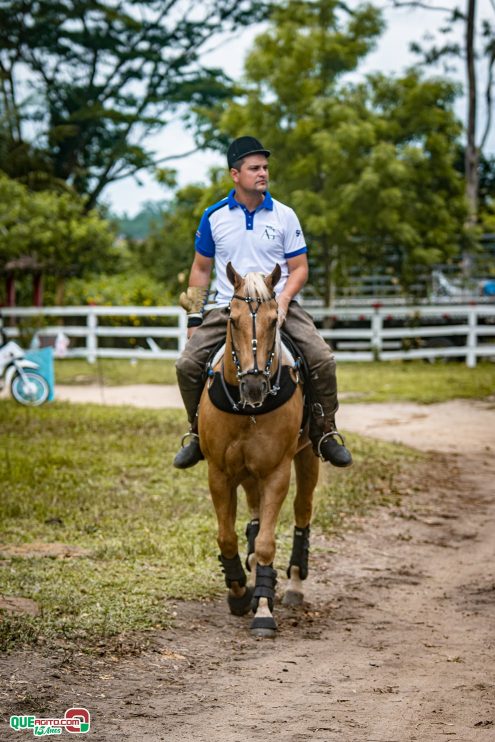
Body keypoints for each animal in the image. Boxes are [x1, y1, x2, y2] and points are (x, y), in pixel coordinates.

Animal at [199, 264, 320, 640]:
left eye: (273, 321)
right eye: (232, 318)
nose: (254, 386)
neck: (247, 410)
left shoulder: (276, 472)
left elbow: (267, 541)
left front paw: (264, 608)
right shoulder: (219, 473)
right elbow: (226, 537)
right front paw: (239, 591)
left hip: (307, 455)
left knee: (302, 511)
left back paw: (294, 584)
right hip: (246, 472)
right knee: (253, 511)